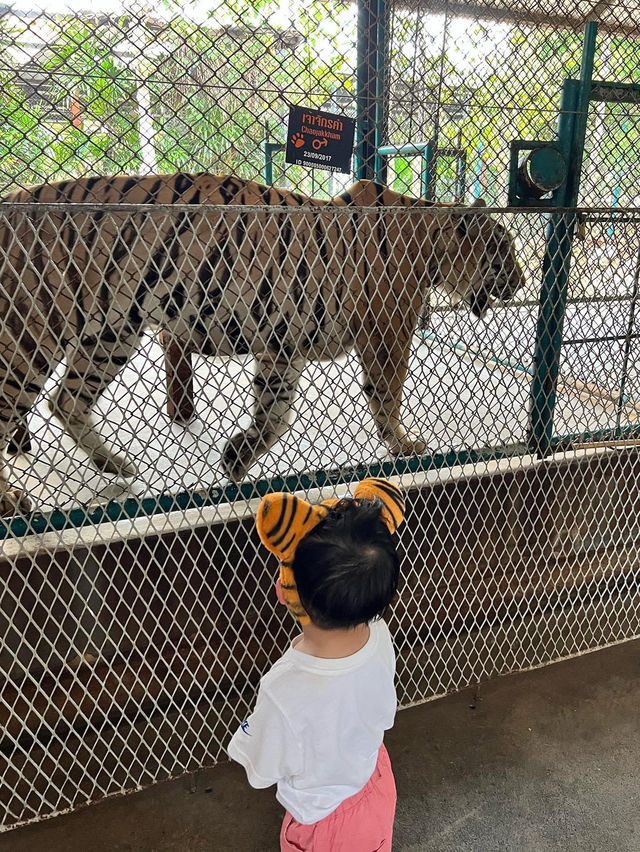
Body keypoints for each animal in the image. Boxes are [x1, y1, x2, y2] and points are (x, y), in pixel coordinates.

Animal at [0, 172, 524, 512]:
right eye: (505, 251)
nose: (522, 281)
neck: (429, 242)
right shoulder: (387, 333)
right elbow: (387, 395)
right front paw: (403, 445)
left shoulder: (283, 345)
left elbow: (274, 413)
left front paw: (237, 459)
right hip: (32, 334)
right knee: (17, 407)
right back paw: (12, 499)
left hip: (109, 334)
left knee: (66, 400)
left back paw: (115, 465)